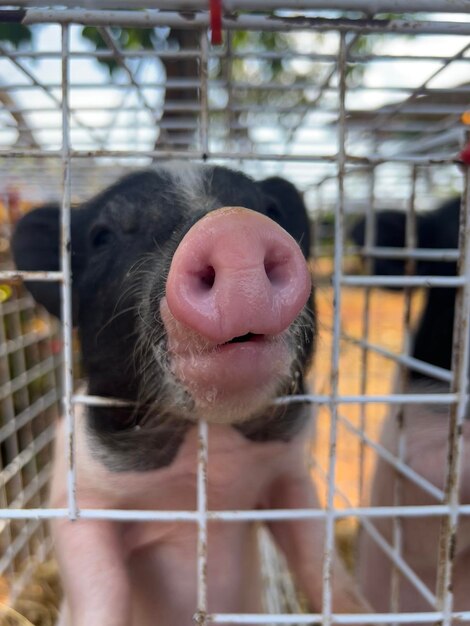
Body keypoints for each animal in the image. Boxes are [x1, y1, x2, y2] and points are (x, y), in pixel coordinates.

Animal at [12, 165, 370, 624]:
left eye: (270, 209)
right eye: (102, 236)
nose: (234, 226)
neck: (209, 452)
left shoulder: (288, 474)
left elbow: (319, 560)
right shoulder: (77, 495)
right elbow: (100, 589)